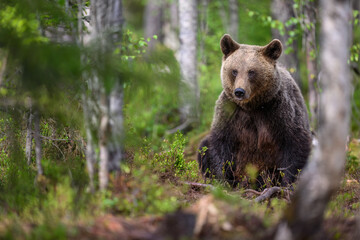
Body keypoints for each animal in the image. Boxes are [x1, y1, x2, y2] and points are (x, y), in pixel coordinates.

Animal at [197, 34, 312, 188]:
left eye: (251, 72)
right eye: (234, 71)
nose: (239, 91)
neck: (252, 106)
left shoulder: (279, 111)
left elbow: (295, 143)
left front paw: (286, 183)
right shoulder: (230, 112)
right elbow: (219, 144)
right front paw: (223, 181)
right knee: (203, 146)